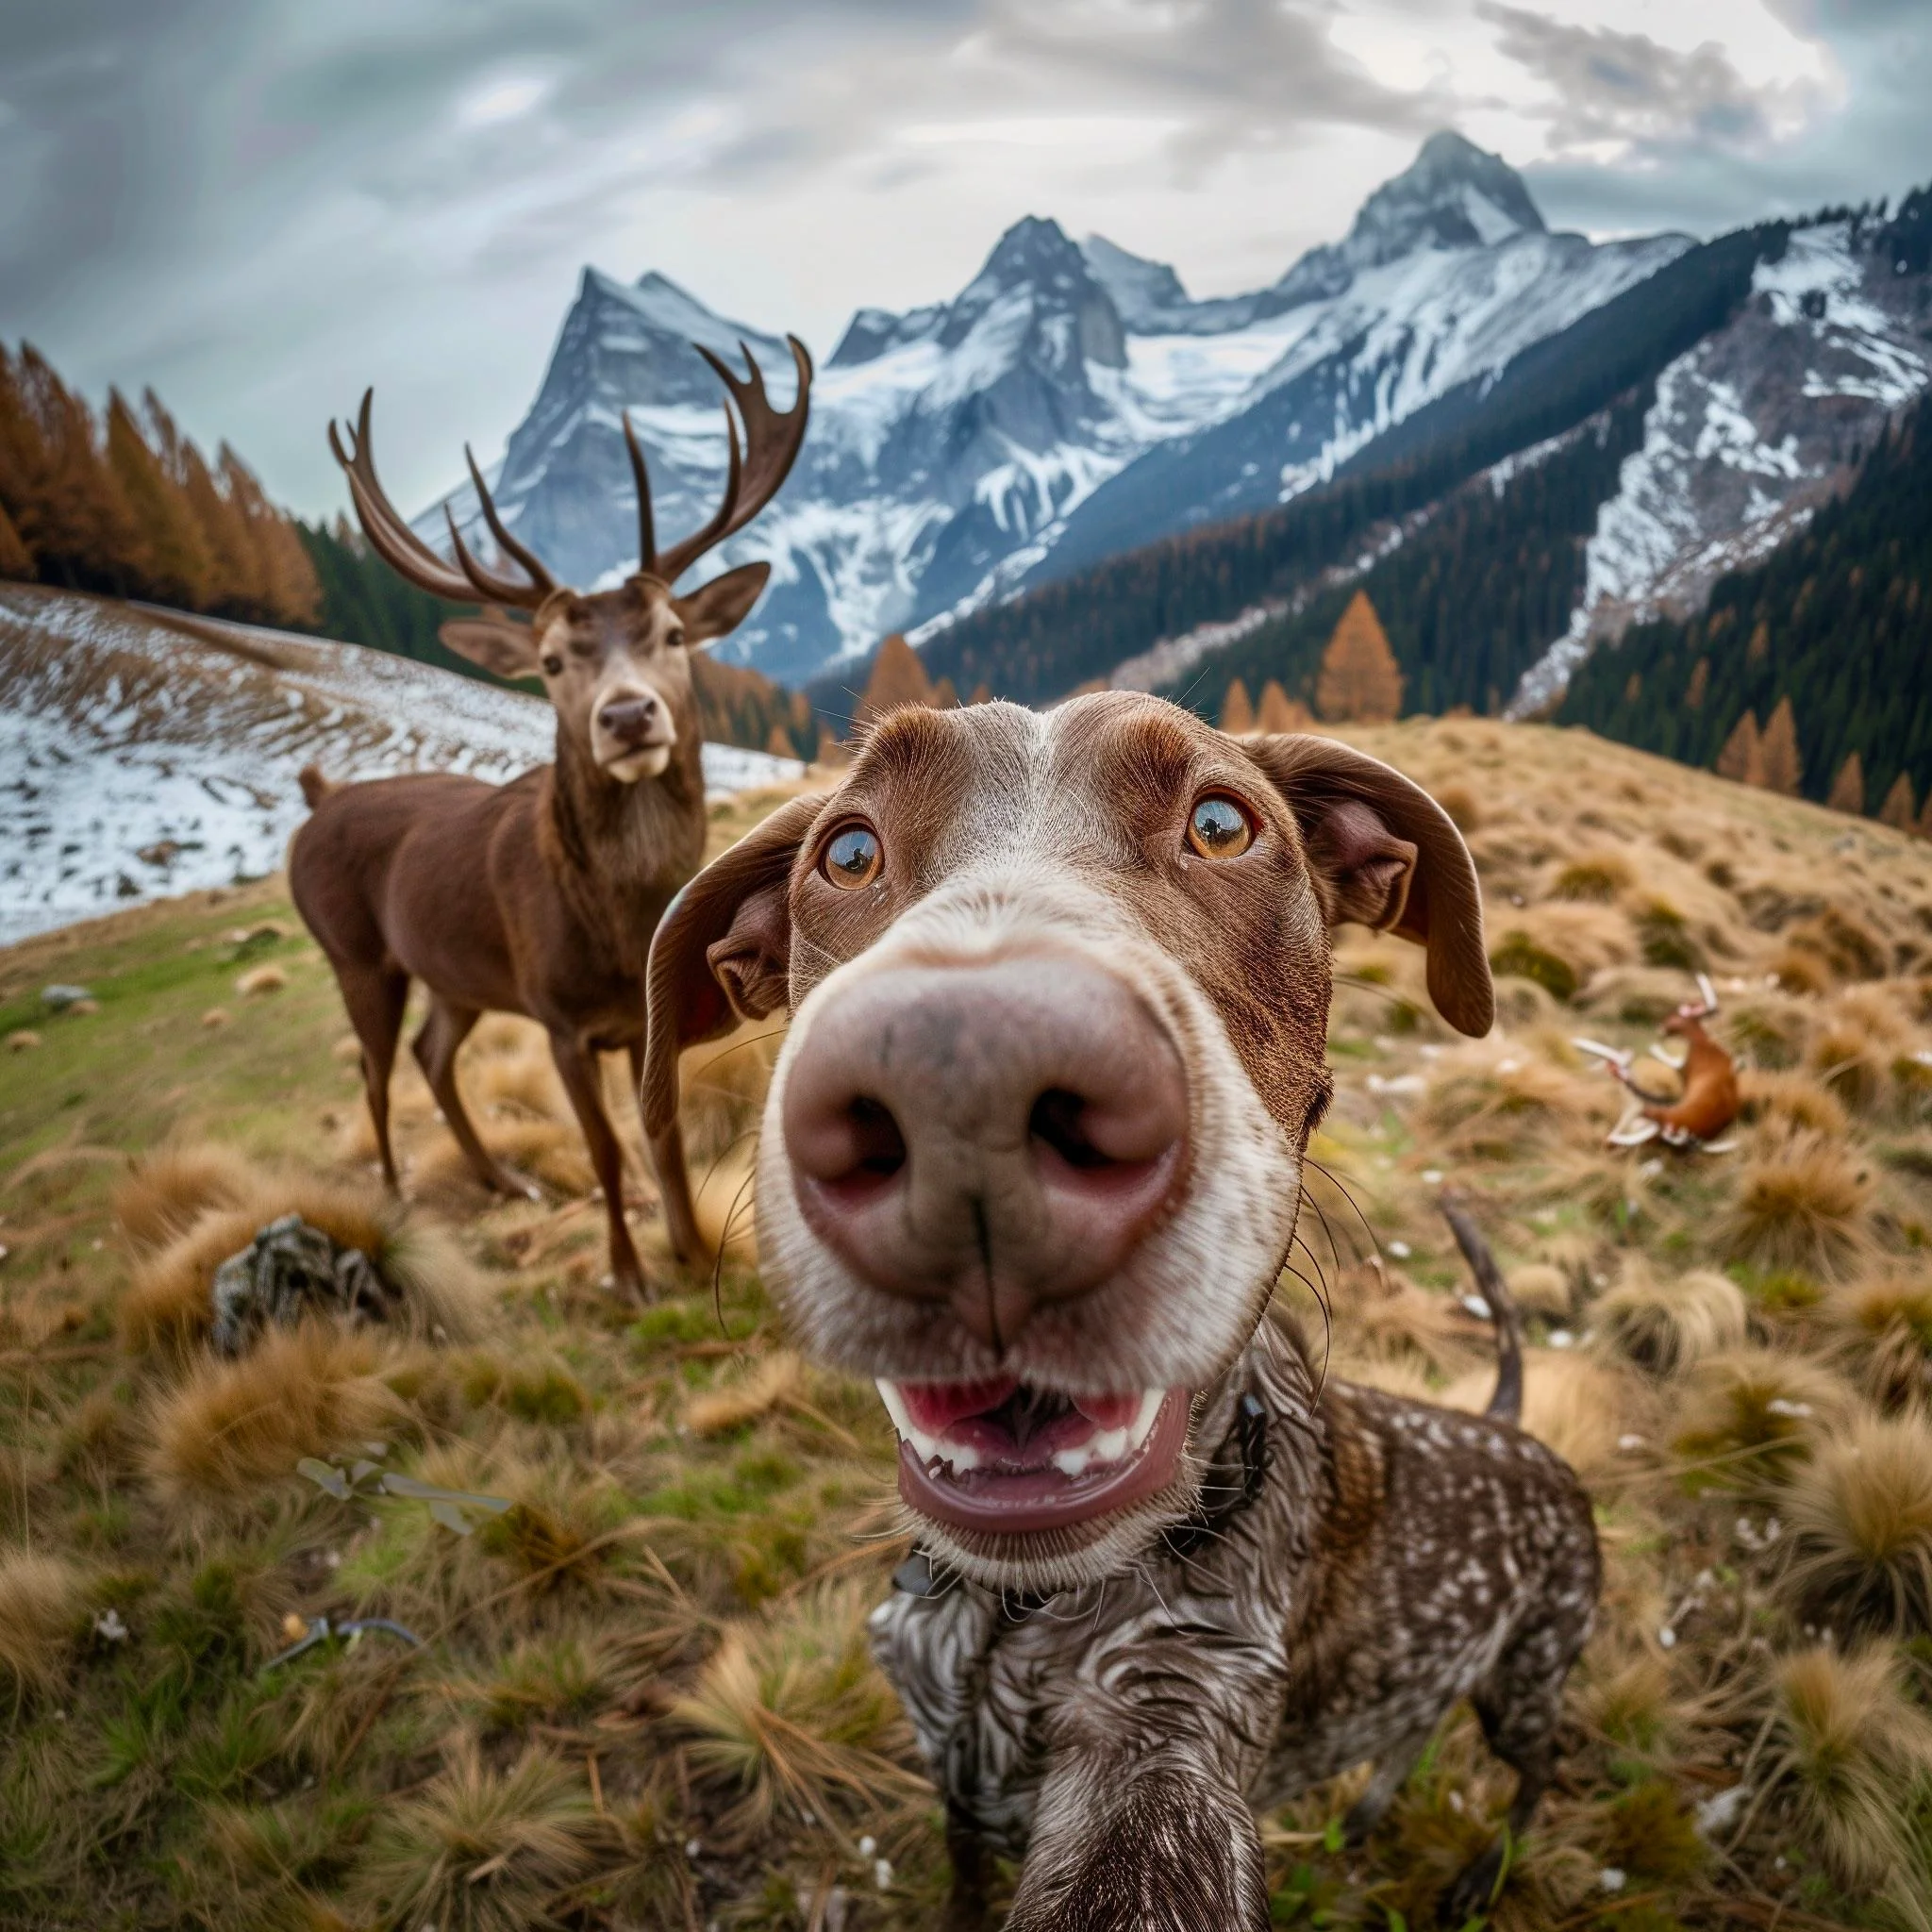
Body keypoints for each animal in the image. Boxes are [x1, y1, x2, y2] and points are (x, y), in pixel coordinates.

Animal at [293, 336, 815, 1298]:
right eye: (548, 661)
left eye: (673, 634)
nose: (628, 715)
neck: (620, 936)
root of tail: (317, 800)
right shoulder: (559, 1018)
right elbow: (606, 1148)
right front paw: (630, 1271)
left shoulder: (643, 1023)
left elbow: (662, 1134)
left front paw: (690, 1249)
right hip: (355, 955)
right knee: (377, 1076)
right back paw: (395, 1200)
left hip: (456, 975)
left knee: (431, 1054)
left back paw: (507, 1181)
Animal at [641, 695, 1591, 1932]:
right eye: (845, 853)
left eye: (1222, 824)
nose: (964, 1084)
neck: (1013, 1614)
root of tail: (1530, 1444)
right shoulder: (953, 1775)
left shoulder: (1169, 1715)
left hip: (1530, 1670)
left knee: (1539, 1763)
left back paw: (1484, 1866)